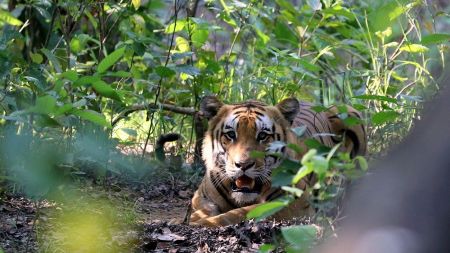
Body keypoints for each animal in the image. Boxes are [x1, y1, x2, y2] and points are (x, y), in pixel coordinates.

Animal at [188, 96, 368, 226]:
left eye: (262, 136)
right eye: (231, 134)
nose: (243, 165)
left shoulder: (296, 200)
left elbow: (242, 212)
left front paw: (202, 222)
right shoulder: (200, 196)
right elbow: (204, 207)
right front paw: (197, 217)